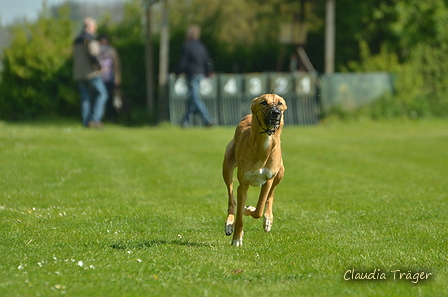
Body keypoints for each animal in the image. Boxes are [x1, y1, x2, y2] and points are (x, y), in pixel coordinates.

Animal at [223, 93, 288, 245]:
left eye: (280, 103)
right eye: (263, 102)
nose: (275, 113)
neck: (263, 147)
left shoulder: (268, 180)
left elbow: (259, 209)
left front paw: (249, 210)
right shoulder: (243, 185)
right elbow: (239, 215)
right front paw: (237, 239)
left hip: (280, 173)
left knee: (271, 195)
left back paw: (268, 219)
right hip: (227, 168)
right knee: (231, 199)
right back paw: (229, 223)